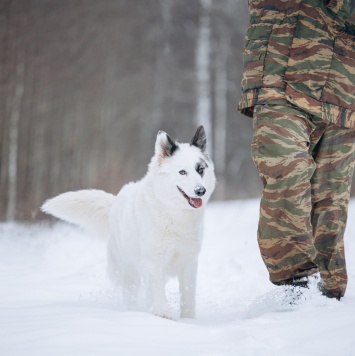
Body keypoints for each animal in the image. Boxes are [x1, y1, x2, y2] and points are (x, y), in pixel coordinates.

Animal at [41, 126, 214, 320]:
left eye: (200, 170)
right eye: (182, 172)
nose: (200, 190)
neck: (174, 214)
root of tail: (114, 203)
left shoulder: (189, 262)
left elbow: (188, 296)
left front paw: (188, 320)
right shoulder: (153, 260)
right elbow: (157, 292)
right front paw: (162, 316)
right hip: (128, 270)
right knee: (131, 293)